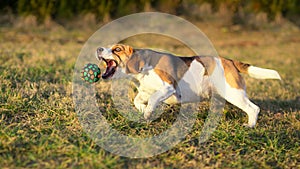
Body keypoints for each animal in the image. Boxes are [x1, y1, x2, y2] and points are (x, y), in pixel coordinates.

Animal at [96, 43, 282, 127]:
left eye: (117, 49)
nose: (98, 48)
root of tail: (229, 61)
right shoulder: (145, 92)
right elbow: (137, 101)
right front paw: (145, 111)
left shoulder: (167, 87)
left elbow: (154, 98)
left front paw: (148, 111)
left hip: (234, 93)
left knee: (253, 108)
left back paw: (250, 125)